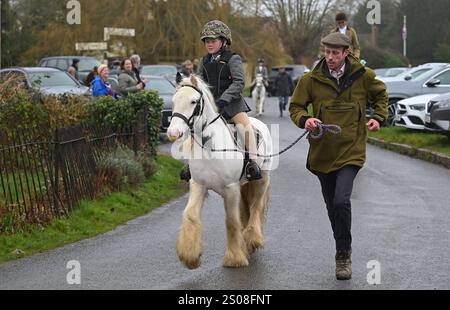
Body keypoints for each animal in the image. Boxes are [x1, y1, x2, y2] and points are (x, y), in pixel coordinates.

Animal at [167, 74, 272, 268]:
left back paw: (252, 240)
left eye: (193, 101)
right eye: (174, 100)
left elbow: (231, 222)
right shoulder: (198, 184)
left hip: (262, 180)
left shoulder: (230, 189)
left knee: (256, 207)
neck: (210, 146)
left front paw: (235, 258)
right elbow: (190, 215)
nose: (173, 133)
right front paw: (190, 255)